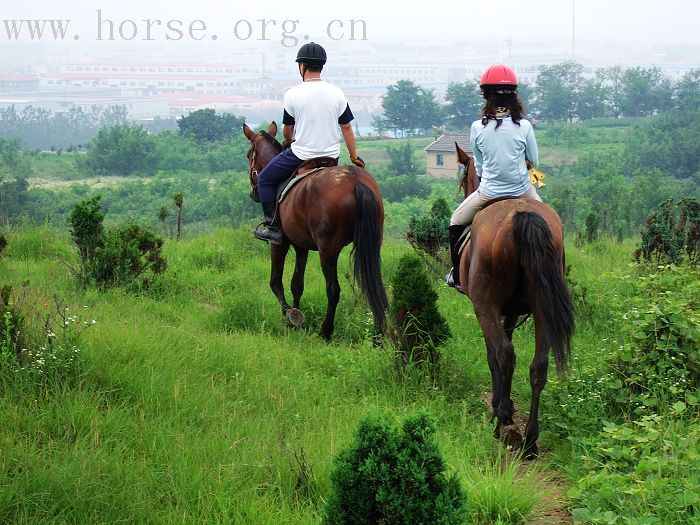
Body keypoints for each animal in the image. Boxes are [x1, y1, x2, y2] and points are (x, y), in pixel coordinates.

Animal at [243, 121, 388, 342]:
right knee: (374, 282)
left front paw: (289, 317)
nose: (254, 193)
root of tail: (356, 182)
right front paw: (296, 314)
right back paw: (378, 335)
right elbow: (297, 284)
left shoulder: (280, 243)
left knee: (333, 289)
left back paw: (325, 332)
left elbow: (276, 281)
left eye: (248, 154)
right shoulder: (301, 246)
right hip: (372, 241)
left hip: (328, 249)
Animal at [454, 141, 576, 456]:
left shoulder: (486, 309)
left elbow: (492, 356)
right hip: (543, 310)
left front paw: (500, 407)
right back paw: (531, 439)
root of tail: (522, 215)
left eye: (463, 178)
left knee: (505, 355)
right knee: (538, 367)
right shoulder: (509, 312)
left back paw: (502, 423)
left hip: (485, 306)